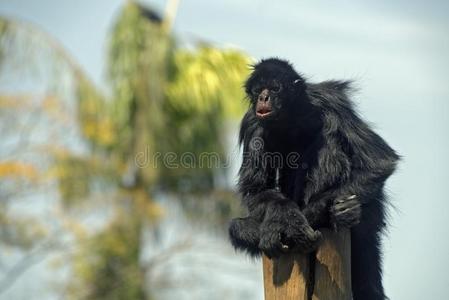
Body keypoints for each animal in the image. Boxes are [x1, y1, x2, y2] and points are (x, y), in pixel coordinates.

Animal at [229, 57, 398, 298]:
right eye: (257, 90)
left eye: (275, 89)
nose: (263, 97)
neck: (290, 119)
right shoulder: (253, 123)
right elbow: (256, 190)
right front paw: (287, 220)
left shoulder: (330, 101)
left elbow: (380, 161)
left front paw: (305, 219)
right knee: (236, 227)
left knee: (329, 139)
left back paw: (345, 214)